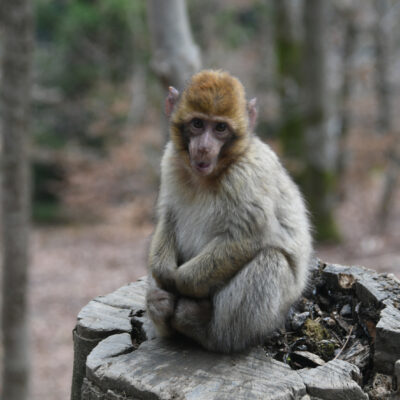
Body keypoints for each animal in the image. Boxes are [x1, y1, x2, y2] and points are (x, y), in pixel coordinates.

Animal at [145, 69, 312, 354]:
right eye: (198, 124)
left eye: (220, 128)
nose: (203, 147)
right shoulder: (170, 161)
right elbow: (168, 216)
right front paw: (162, 273)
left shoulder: (247, 175)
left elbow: (248, 237)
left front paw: (180, 281)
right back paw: (161, 311)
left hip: (272, 315)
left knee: (271, 259)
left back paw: (204, 328)